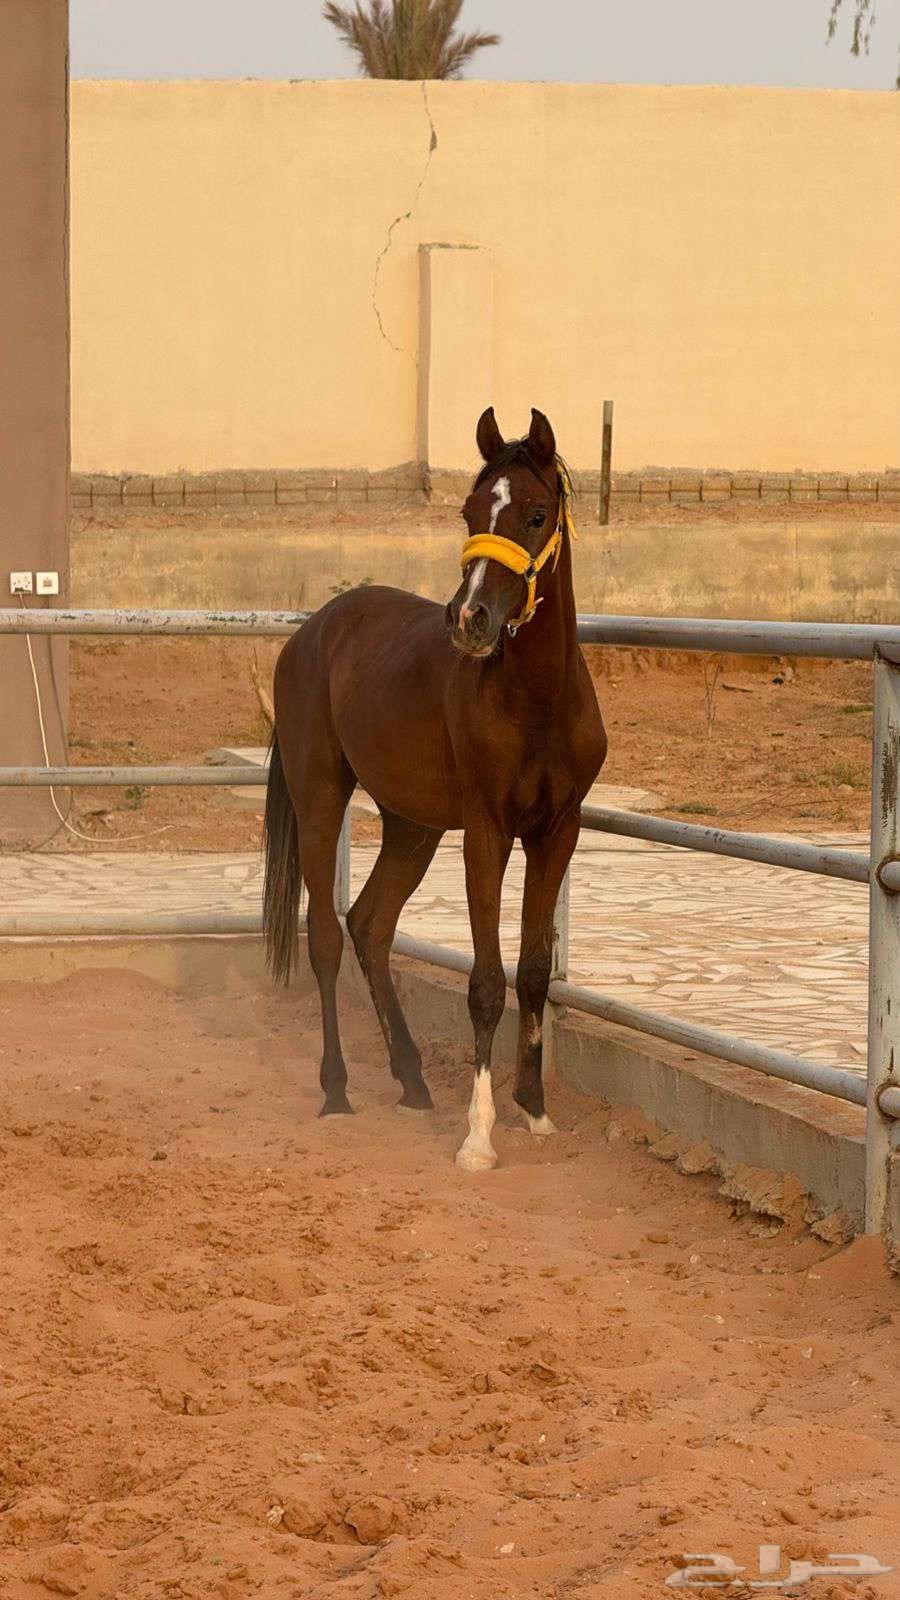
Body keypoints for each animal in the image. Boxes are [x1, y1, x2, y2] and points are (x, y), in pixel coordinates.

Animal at [263, 406, 607, 1171]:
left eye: (536, 514)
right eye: (470, 511)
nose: (469, 620)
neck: (536, 701)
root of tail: (310, 634)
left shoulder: (557, 832)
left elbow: (532, 969)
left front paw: (534, 1111)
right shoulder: (486, 832)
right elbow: (485, 981)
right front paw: (478, 1137)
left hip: (410, 825)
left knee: (370, 924)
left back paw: (413, 1080)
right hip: (321, 798)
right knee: (326, 934)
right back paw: (337, 1091)